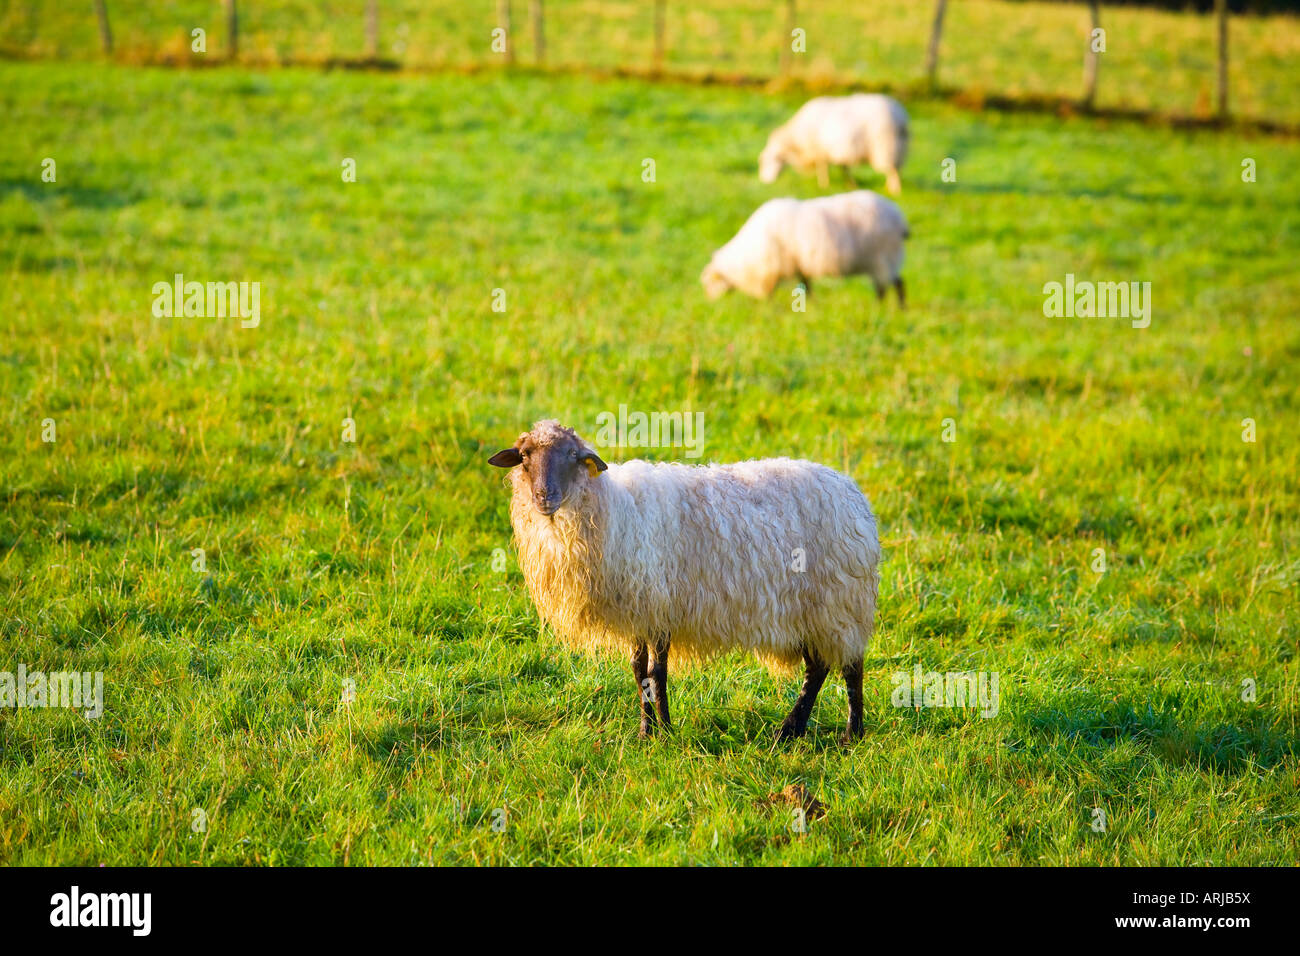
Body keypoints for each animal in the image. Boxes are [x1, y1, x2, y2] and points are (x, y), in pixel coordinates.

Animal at [488, 420, 881, 743]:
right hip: (813, 611)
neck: (609, 508)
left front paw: (665, 730)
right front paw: (646, 731)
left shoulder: (661, 606)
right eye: (525, 456)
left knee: (850, 667)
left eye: (572, 455)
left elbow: (657, 672)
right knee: (818, 668)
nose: (544, 498)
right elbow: (639, 672)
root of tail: (852, 493)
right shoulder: (640, 611)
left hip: (841, 601)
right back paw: (791, 730)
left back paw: (851, 733)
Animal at [700, 190, 908, 304]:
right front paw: (814, 306)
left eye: (710, 283)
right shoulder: (798, 265)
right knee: (890, 284)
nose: (709, 302)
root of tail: (898, 217)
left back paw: (888, 308)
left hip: (883, 257)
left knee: (891, 286)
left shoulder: (775, 269)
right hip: (884, 259)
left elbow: (775, 294)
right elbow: (807, 287)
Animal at [760, 93, 909, 193]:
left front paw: (824, 185)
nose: (764, 181)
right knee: (896, 169)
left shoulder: (819, 151)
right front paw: (851, 184)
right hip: (899, 147)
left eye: (766, 161)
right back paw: (889, 187)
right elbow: (844, 168)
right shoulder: (836, 152)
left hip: (886, 147)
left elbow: (823, 169)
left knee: (893, 170)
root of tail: (901, 116)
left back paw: (895, 190)